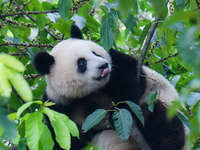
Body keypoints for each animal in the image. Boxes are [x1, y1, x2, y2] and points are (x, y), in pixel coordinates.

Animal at [33, 24, 185, 149]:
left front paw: (118, 113)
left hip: (161, 100)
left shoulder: (116, 61)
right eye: (82, 62)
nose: (104, 65)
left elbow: (129, 79)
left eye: (95, 53)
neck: (88, 92)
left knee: (161, 122)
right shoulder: (58, 105)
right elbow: (68, 137)